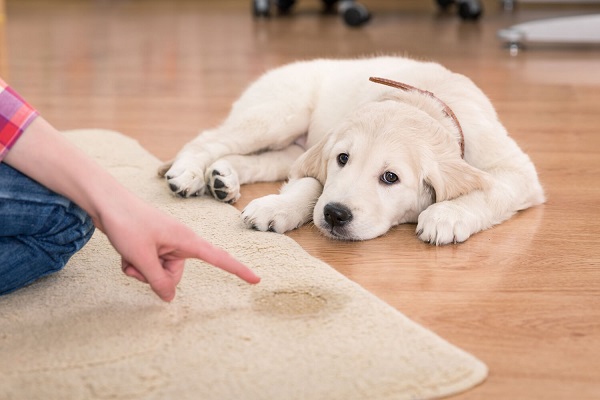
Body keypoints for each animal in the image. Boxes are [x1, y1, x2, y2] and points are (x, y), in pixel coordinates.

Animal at [159, 56, 544, 244]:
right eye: (342, 159)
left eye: (390, 177)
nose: (335, 215)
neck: (424, 103)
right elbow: (311, 183)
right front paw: (278, 207)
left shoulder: (517, 171)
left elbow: (491, 190)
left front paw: (446, 216)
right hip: (278, 114)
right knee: (208, 139)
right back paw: (188, 173)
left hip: (288, 144)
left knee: (261, 160)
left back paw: (223, 177)